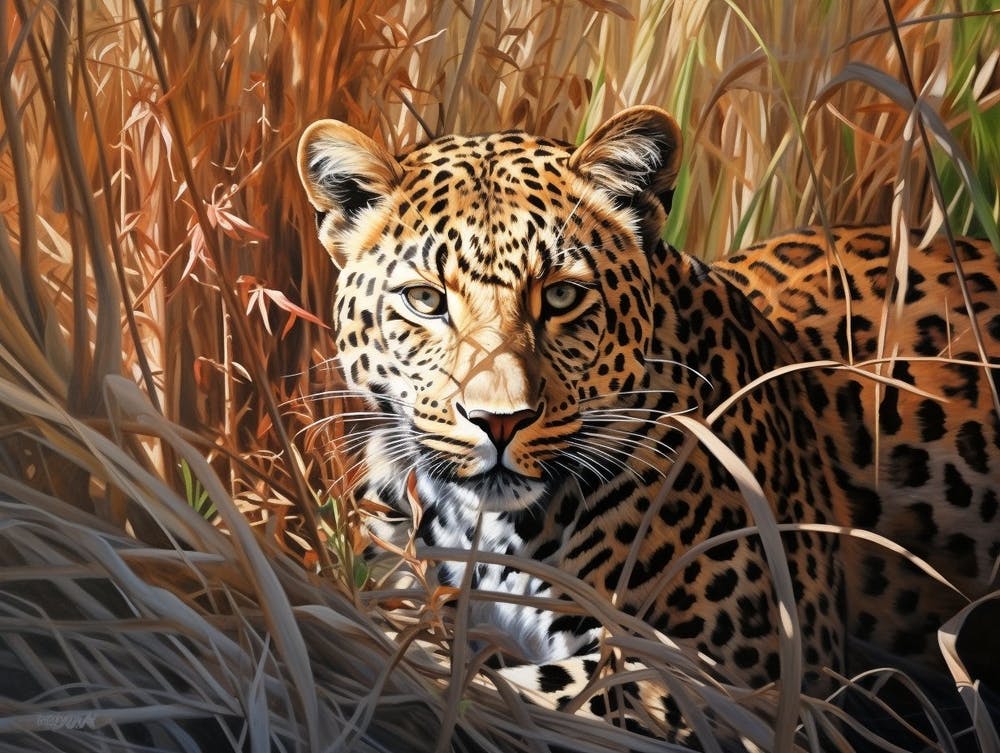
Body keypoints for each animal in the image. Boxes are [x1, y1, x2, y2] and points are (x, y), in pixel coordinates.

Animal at [296, 106, 999, 733]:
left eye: (561, 295)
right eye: (425, 299)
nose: (500, 421)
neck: (486, 534)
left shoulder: (745, 675)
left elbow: (517, 683)